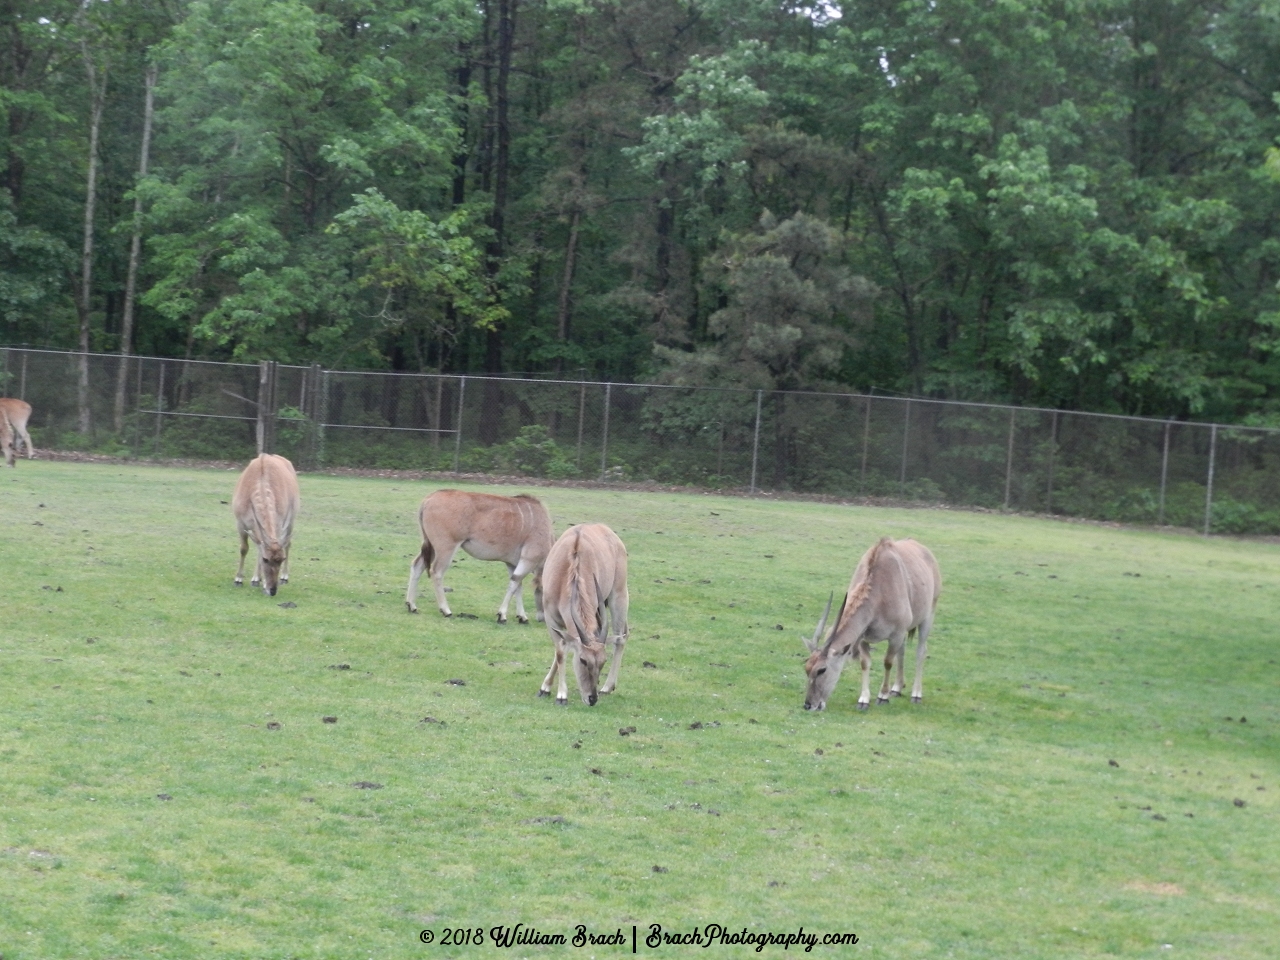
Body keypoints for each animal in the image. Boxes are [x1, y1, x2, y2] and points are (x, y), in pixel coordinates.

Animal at [231, 455, 298, 599]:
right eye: (265, 559)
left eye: (282, 559)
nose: (272, 590)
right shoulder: (240, 523)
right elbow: (244, 549)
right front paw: (238, 579)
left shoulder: (278, 525)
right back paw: (256, 579)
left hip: (291, 519)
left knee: (288, 544)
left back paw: (283, 577)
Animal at [407, 488, 552, 624]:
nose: (543, 619)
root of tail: (428, 499)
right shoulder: (529, 559)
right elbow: (515, 583)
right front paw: (502, 616)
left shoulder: (512, 563)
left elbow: (517, 586)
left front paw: (522, 616)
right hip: (446, 547)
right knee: (436, 572)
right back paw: (446, 610)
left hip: (431, 546)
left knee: (417, 565)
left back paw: (411, 605)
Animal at [537, 527, 627, 706]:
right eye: (583, 660)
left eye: (603, 661)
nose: (592, 698)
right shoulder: (551, 619)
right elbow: (560, 651)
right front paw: (548, 689)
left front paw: (561, 694)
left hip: (619, 596)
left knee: (621, 638)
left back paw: (607, 687)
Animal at [798, 542, 942, 716]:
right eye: (807, 668)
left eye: (822, 670)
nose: (808, 705)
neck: (879, 592)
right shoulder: (863, 637)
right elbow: (865, 663)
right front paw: (864, 700)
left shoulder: (896, 634)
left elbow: (887, 662)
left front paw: (882, 696)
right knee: (902, 651)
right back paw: (897, 688)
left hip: (928, 616)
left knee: (921, 651)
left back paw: (916, 694)